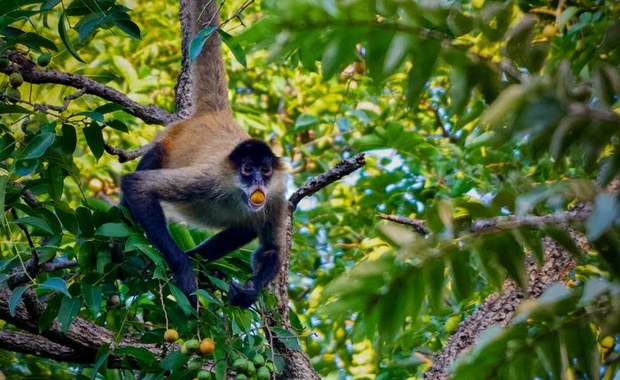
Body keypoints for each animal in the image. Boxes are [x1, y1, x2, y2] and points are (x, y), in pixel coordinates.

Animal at [120, 1, 288, 308]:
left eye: (266, 170)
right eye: (248, 170)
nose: (259, 182)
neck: (237, 193)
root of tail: (215, 115)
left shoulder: (277, 195)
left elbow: (271, 250)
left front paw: (248, 292)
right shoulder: (209, 178)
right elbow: (136, 186)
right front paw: (184, 269)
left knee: (246, 226)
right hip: (166, 142)